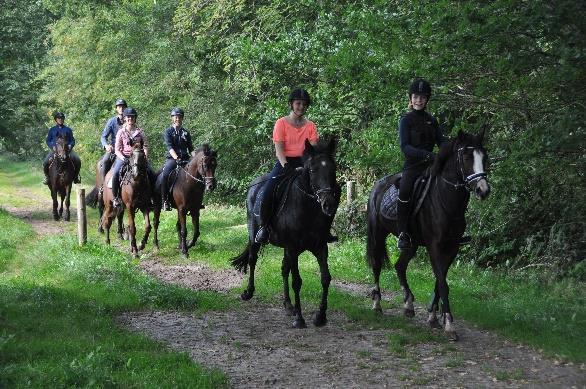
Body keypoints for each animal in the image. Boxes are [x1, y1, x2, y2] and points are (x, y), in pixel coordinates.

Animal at [228, 139, 338, 328]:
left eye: (333, 169)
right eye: (312, 170)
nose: (328, 204)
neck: (307, 209)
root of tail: (254, 186)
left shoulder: (320, 247)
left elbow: (325, 278)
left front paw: (320, 316)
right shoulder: (293, 248)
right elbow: (297, 281)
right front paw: (299, 319)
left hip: (288, 249)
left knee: (284, 269)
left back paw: (288, 305)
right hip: (255, 237)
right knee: (252, 260)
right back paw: (248, 292)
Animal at [364, 130, 488, 340]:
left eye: (484, 157)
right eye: (466, 158)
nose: (483, 190)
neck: (446, 201)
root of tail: (378, 185)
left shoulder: (452, 248)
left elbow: (440, 281)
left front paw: (433, 316)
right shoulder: (434, 246)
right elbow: (443, 284)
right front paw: (449, 325)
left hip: (412, 243)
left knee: (400, 266)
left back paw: (408, 304)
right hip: (378, 235)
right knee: (377, 265)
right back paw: (377, 304)